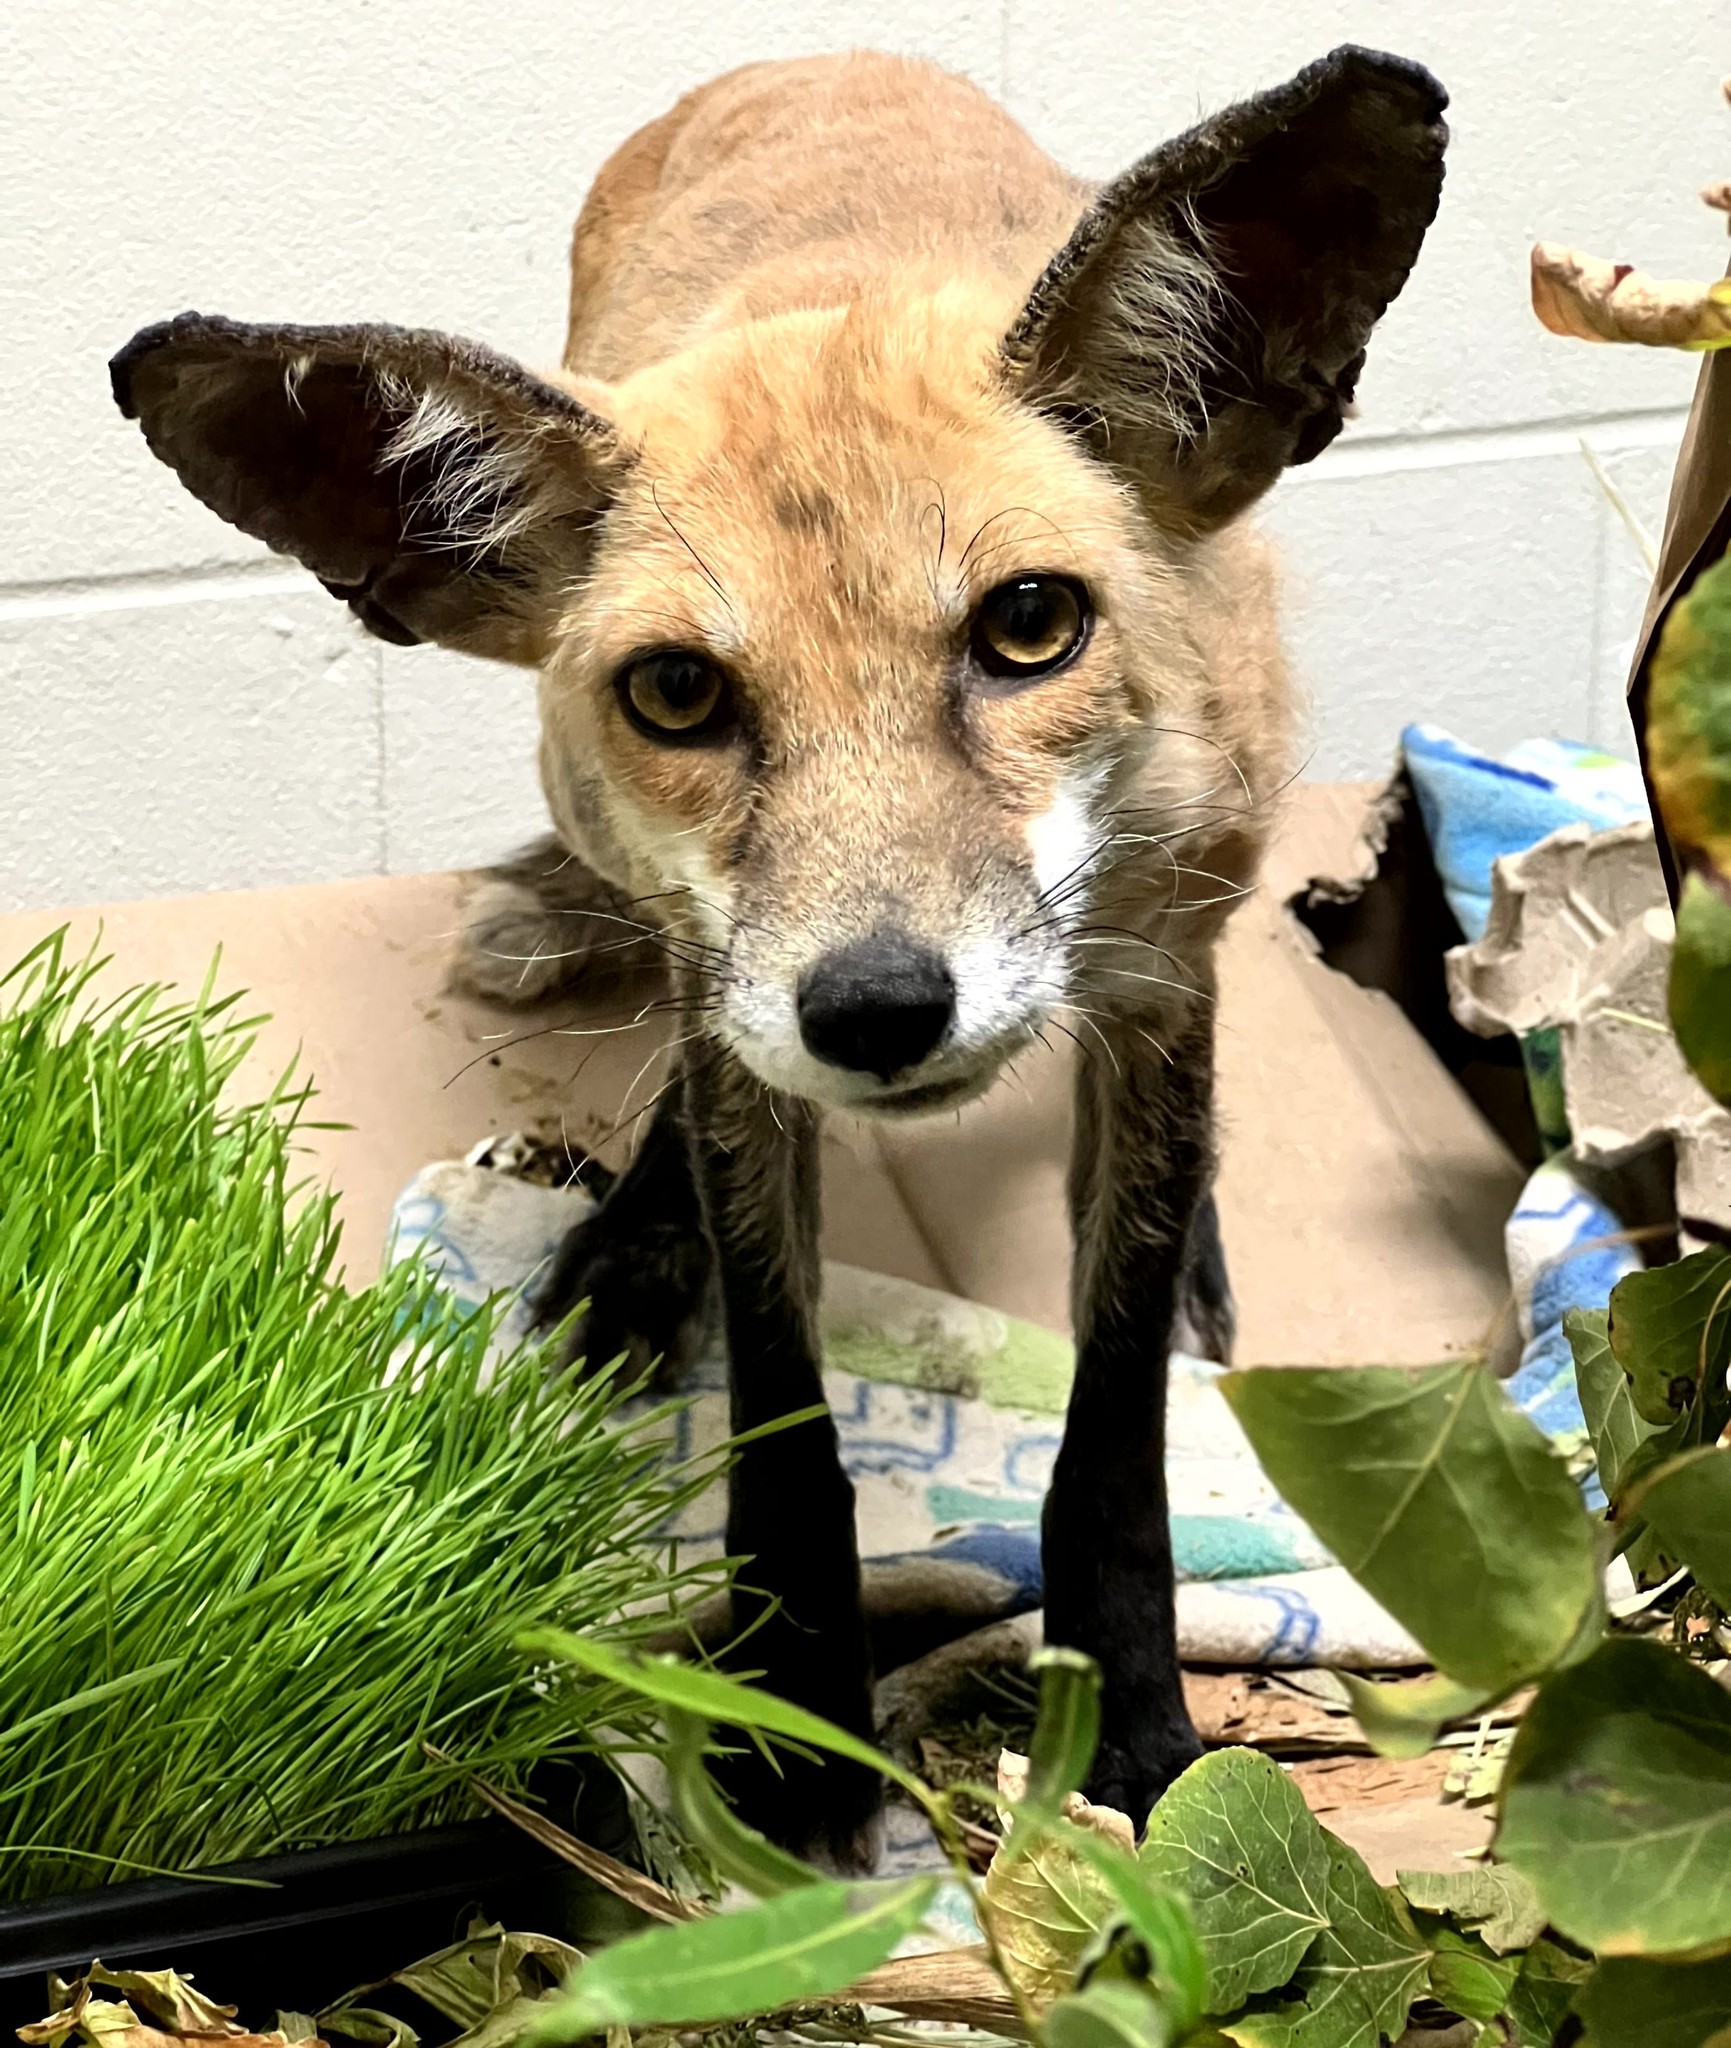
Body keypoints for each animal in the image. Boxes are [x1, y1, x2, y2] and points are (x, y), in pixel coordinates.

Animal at [113, 44, 1446, 1869]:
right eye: (679, 691)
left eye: (1032, 625)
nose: (876, 1008)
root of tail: (819, 58)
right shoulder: (733, 999)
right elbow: (781, 1394)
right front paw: (794, 1721)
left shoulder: (1162, 964)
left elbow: (1112, 1429)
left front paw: (1133, 1719)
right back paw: (630, 1246)